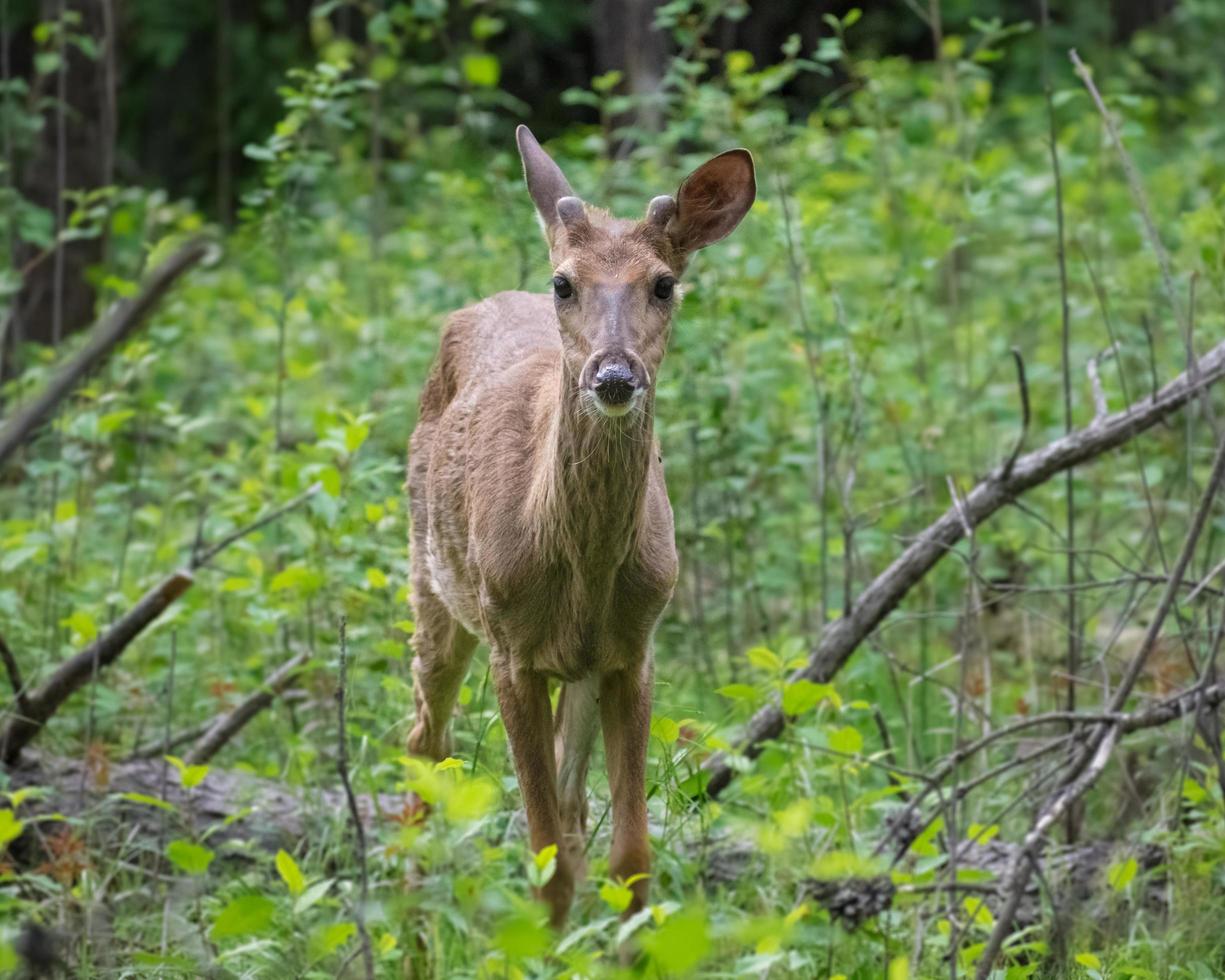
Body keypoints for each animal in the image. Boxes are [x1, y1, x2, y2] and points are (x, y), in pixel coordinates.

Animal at [406, 124, 754, 926]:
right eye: (564, 283)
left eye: (664, 283)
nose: (614, 376)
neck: (578, 564)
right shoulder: (511, 651)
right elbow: (547, 864)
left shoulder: (634, 652)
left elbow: (625, 859)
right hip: (432, 589)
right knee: (423, 748)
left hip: (580, 672)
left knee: (568, 806)